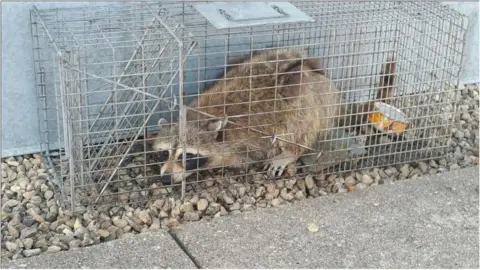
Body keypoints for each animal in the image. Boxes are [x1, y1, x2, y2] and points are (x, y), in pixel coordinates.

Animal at [155, 48, 398, 184]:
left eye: (187, 156)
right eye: (165, 153)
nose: (165, 177)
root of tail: (334, 92)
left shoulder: (248, 141)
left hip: (311, 100)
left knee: (301, 117)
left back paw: (291, 151)